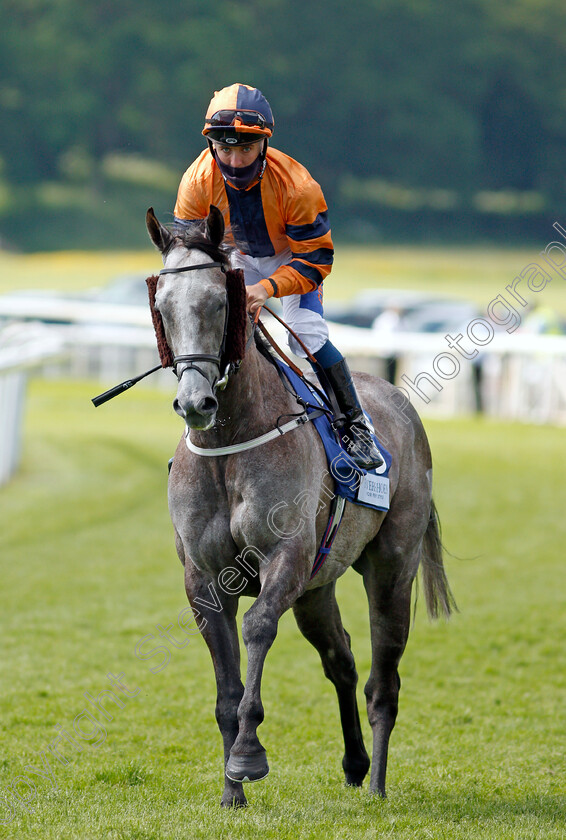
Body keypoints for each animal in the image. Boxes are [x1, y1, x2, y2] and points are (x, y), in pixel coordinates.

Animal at [148, 203, 458, 808]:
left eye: (219, 302)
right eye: (162, 307)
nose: (195, 403)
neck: (231, 444)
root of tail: (400, 403)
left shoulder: (285, 558)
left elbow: (257, 629)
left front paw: (248, 756)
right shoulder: (202, 579)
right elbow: (226, 688)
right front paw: (231, 794)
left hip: (391, 569)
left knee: (383, 681)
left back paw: (377, 785)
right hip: (318, 588)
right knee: (341, 660)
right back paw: (356, 763)